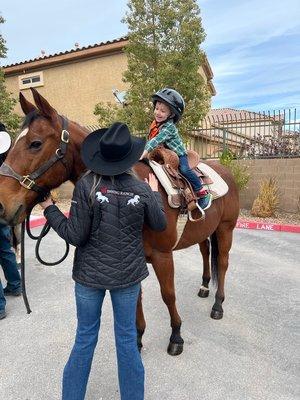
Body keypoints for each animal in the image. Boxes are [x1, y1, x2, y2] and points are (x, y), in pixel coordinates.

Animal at [0, 89, 239, 354]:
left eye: (35, 143)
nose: (2, 204)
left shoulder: (162, 256)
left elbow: (168, 294)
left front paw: (176, 336)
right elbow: (136, 299)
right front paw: (137, 339)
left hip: (226, 230)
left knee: (223, 264)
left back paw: (218, 305)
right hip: (204, 231)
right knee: (206, 253)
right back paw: (205, 287)